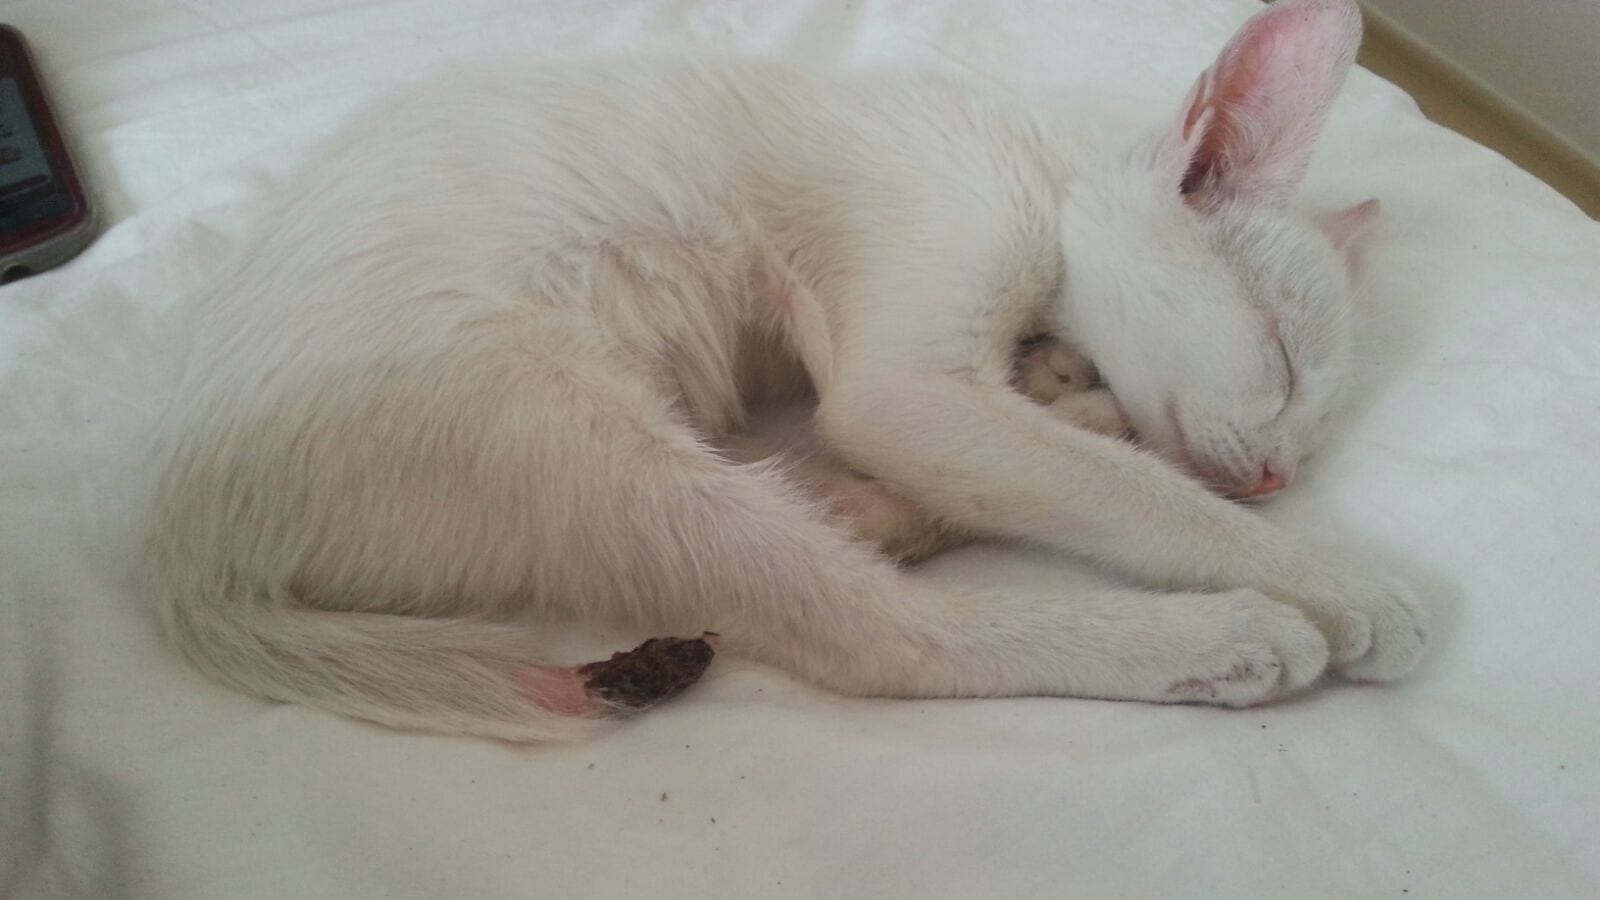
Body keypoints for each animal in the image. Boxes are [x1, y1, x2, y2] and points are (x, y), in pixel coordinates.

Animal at [149, 0, 1428, 742]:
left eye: (1315, 423)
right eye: (1277, 359)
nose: (1277, 473)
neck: (1034, 163)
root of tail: (187, 540)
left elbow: (1054, 437)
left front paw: (1073, 391)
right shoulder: (922, 342)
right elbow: (1138, 496)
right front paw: (1339, 583)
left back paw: (865, 502)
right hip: (548, 415)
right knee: (880, 638)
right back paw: (1215, 642)